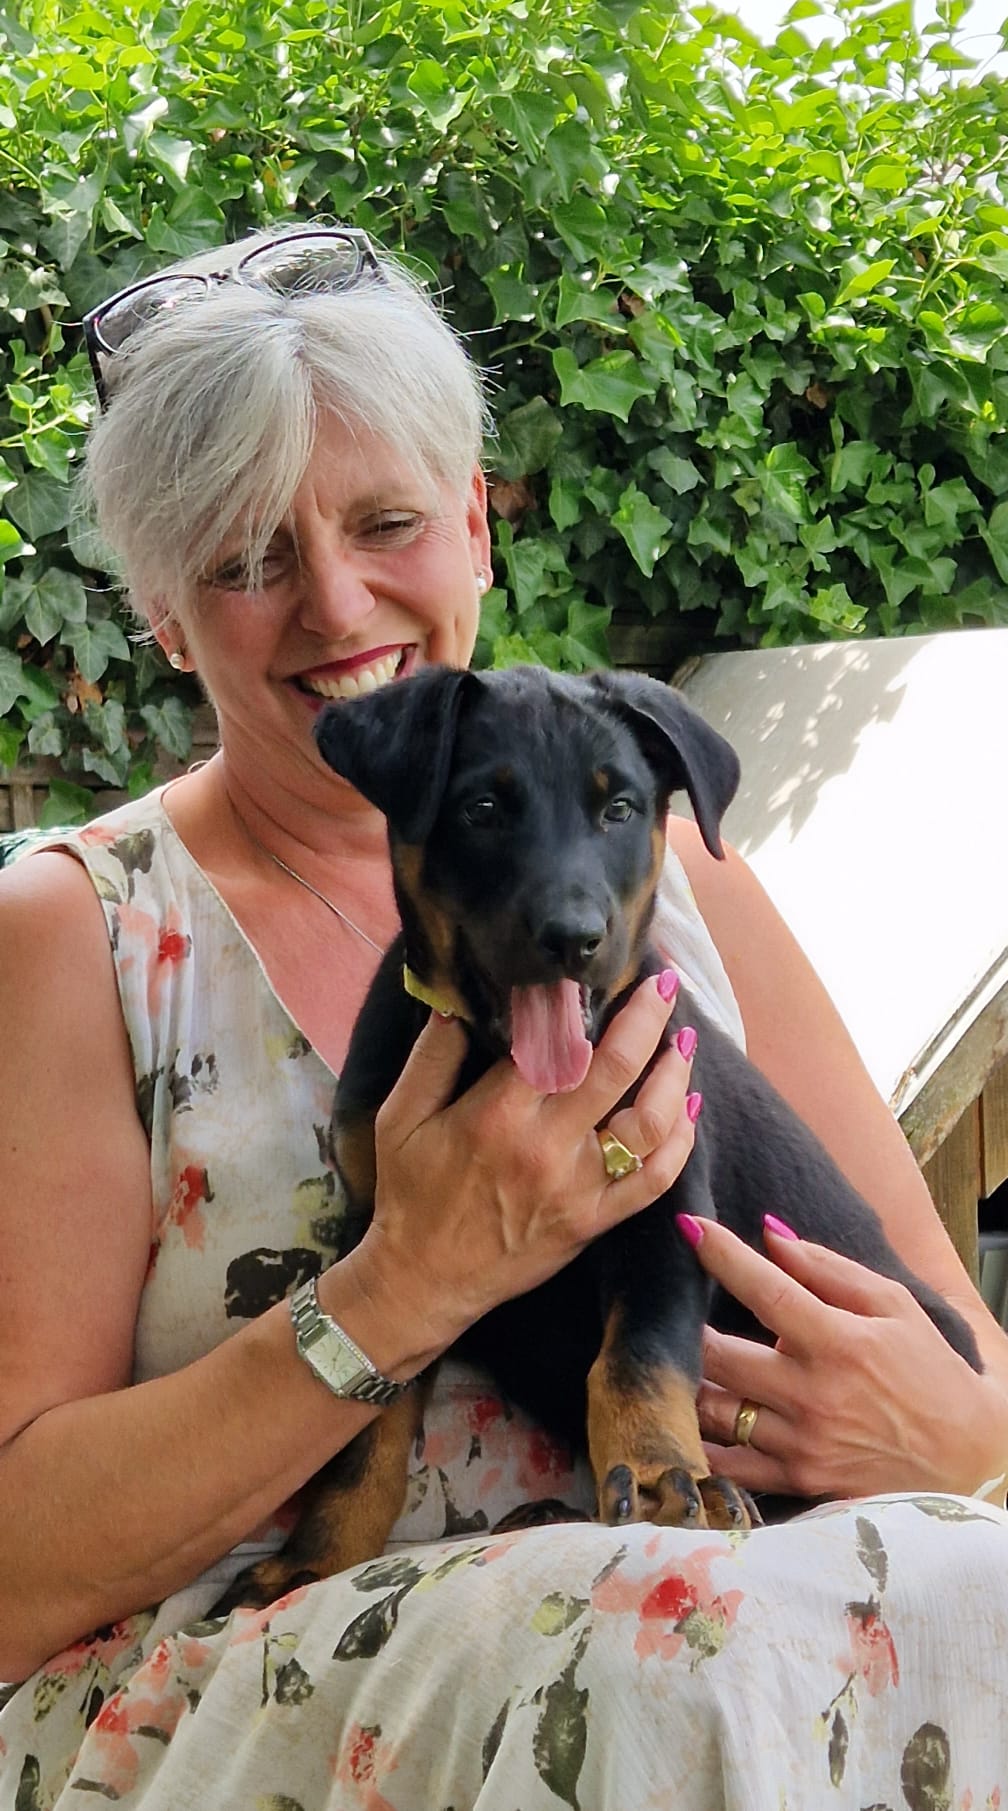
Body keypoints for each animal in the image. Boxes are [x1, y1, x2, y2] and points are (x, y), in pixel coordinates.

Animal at [227, 665, 980, 1609]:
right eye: (482, 808)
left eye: (618, 807)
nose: (572, 937)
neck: (500, 1065)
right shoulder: (386, 1239)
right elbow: (368, 1429)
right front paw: (317, 1558)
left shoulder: (664, 1212)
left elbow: (638, 1355)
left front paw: (663, 1478)